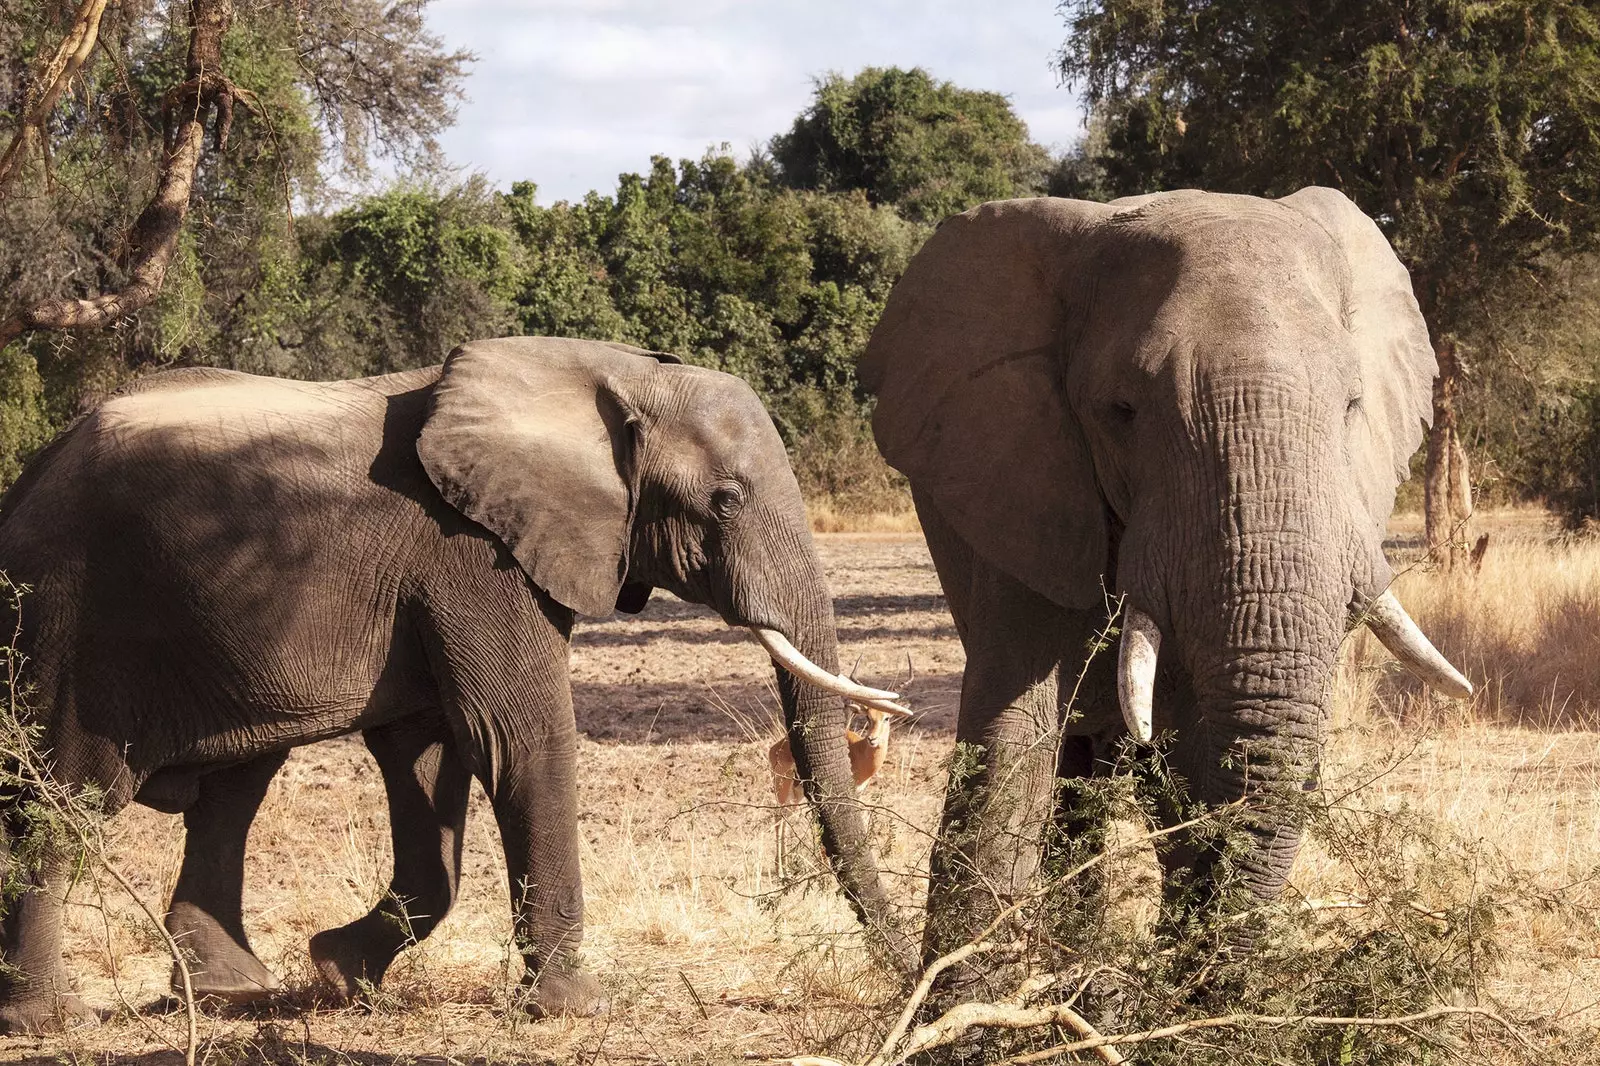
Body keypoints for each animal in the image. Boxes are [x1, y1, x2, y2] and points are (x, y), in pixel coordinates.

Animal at [0, 334, 908, 1030]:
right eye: (725, 501)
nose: (904, 984)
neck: (605, 371)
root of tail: (30, 479)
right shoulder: (475, 558)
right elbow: (515, 737)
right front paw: (571, 1008)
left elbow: (428, 759)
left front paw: (337, 972)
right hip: (76, 616)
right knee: (67, 795)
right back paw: (51, 1020)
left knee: (233, 788)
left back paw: (230, 992)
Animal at [857, 186, 1465, 992]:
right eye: (1122, 411)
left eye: (1351, 406)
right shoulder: (1020, 488)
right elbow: (1013, 738)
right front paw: (961, 1011)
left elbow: (1187, 752)